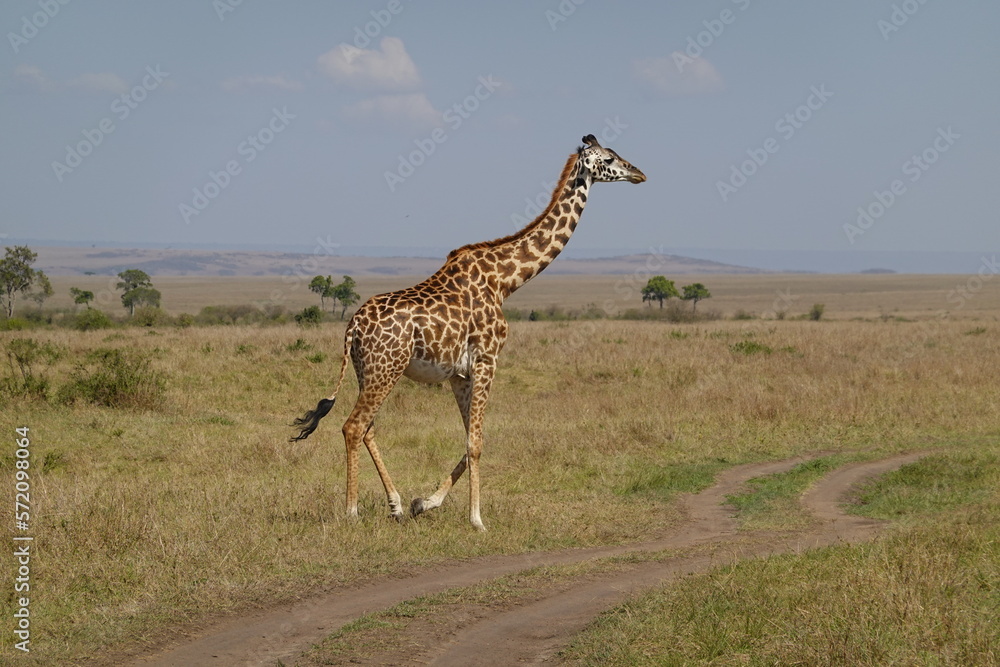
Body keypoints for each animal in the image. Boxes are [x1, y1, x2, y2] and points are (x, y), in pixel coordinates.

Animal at [290, 134, 645, 531]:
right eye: (609, 158)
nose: (639, 173)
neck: (505, 281)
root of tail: (353, 326)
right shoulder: (487, 359)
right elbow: (476, 442)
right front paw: (477, 520)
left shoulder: (459, 373)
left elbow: (469, 438)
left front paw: (425, 503)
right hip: (386, 369)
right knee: (353, 426)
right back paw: (351, 512)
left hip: (367, 370)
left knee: (368, 428)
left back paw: (396, 505)